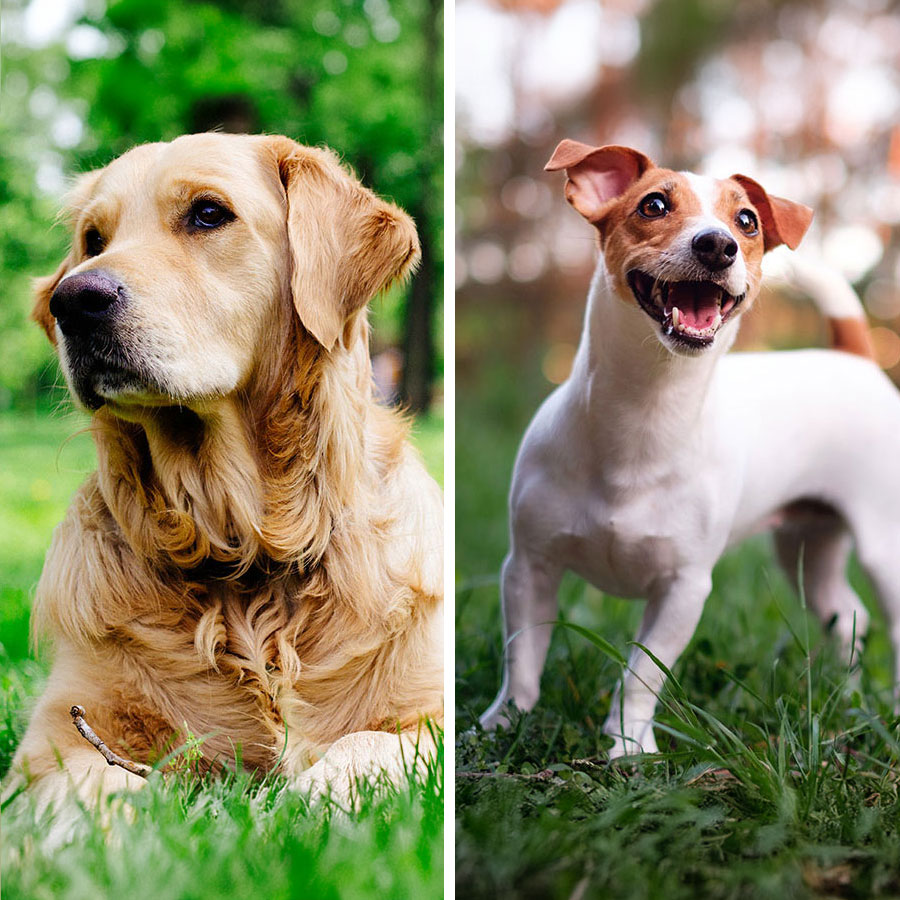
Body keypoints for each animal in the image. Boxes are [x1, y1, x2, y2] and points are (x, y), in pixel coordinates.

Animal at [482, 141, 900, 760]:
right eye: (653, 205)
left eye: (746, 221)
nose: (718, 244)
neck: (644, 413)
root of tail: (855, 357)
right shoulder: (529, 567)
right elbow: (524, 655)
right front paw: (506, 721)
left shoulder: (684, 589)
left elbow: (641, 674)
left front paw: (628, 744)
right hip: (806, 545)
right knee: (845, 614)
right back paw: (844, 695)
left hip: (883, 548)